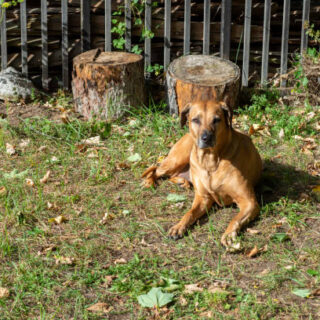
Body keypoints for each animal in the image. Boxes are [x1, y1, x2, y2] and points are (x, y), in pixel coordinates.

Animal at [141, 101, 262, 249]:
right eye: (195, 120)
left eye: (216, 120)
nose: (206, 138)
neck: (211, 160)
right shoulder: (203, 198)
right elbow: (189, 213)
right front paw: (178, 226)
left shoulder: (249, 202)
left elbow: (235, 219)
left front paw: (228, 235)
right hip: (178, 158)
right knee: (157, 170)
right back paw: (149, 182)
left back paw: (182, 181)